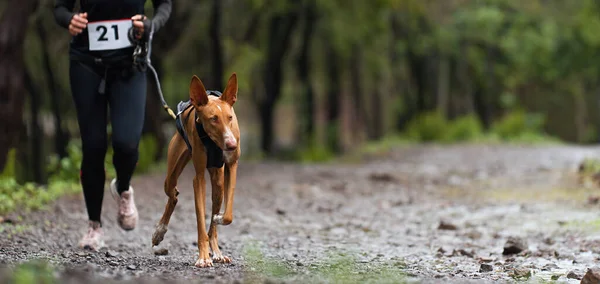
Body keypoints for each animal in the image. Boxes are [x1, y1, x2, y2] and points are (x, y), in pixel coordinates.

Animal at [151, 72, 240, 268]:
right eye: (213, 118)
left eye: (230, 117)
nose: (232, 145)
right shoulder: (198, 179)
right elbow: (200, 219)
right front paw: (203, 257)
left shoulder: (231, 166)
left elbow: (227, 214)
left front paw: (219, 219)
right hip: (172, 173)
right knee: (173, 195)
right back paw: (160, 231)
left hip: (218, 181)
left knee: (213, 220)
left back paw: (217, 251)